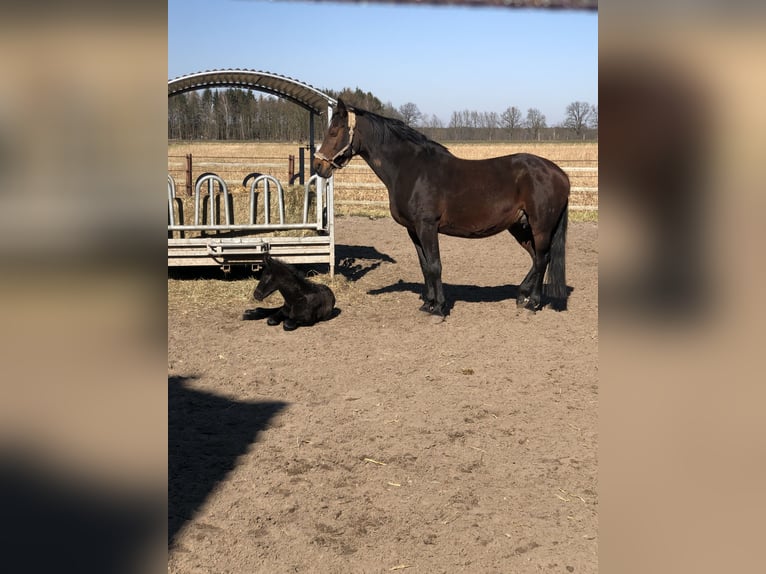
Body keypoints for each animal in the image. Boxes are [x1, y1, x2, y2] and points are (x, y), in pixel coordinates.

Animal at [313, 99, 570, 317]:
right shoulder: (413, 230)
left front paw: (439, 308)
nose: (318, 166)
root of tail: (560, 174)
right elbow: (425, 266)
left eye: (334, 132)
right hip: (520, 226)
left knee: (542, 259)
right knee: (536, 258)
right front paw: (428, 303)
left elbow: (435, 265)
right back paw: (522, 295)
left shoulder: (427, 226)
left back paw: (533, 303)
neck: (411, 169)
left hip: (540, 227)